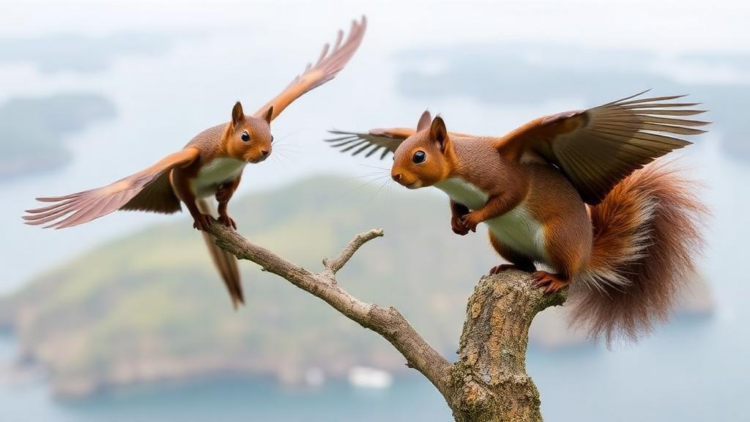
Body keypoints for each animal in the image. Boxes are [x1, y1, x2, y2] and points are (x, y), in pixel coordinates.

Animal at [24, 17, 367, 309]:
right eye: (245, 136)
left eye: (272, 135)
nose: (265, 153)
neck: (226, 155)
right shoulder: (182, 169)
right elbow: (175, 195)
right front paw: (202, 218)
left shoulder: (236, 173)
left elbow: (228, 197)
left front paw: (225, 214)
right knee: (186, 199)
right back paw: (203, 217)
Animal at [327, 91, 708, 342]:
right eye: (396, 153)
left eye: (419, 156)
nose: (396, 176)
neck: (459, 173)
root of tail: (587, 254)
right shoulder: (455, 195)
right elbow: (454, 207)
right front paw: (455, 224)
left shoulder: (509, 182)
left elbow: (504, 201)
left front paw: (473, 218)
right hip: (503, 239)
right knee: (526, 265)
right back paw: (508, 267)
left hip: (559, 238)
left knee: (567, 274)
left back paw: (554, 279)